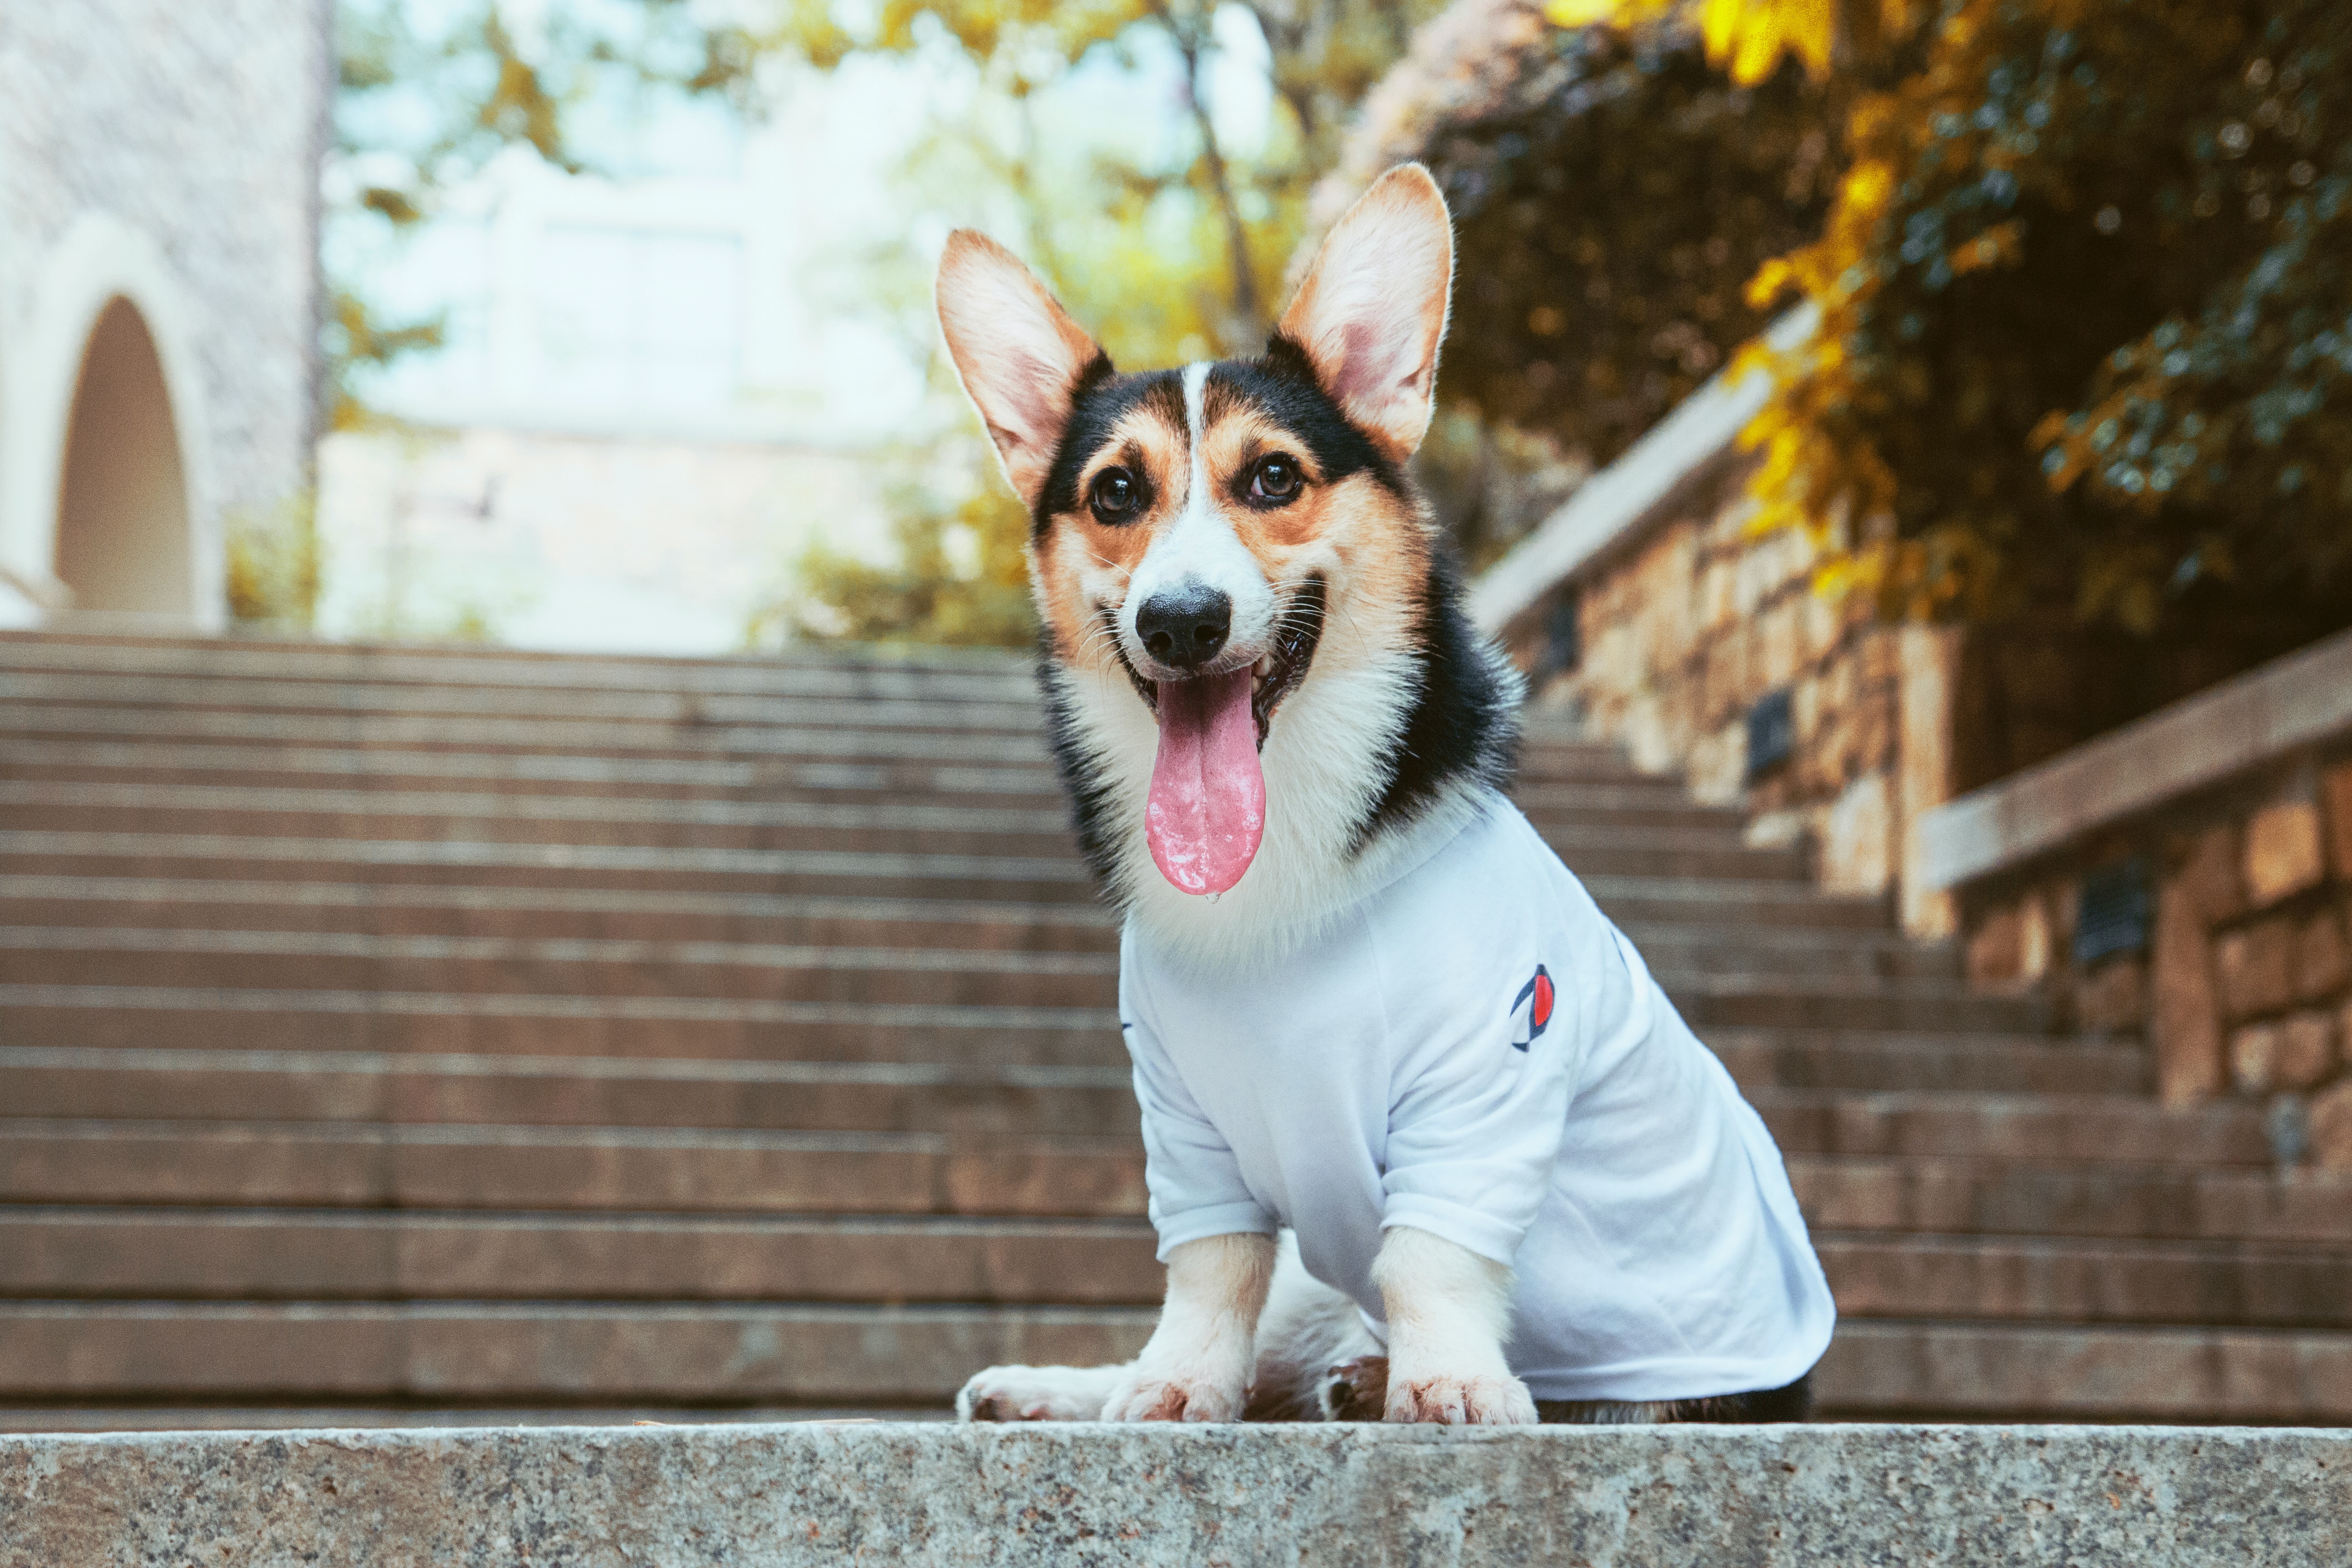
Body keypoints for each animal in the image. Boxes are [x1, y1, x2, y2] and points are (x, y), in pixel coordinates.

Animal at [926, 166, 1825, 1429]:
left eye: (1273, 477)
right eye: (1115, 493)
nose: (1180, 621)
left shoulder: (1485, 1089)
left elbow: (1431, 1256)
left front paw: (1452, 1380)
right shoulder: (1184, 1125)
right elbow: (1210, 1271)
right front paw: (1172, 1383)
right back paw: (1080, 1386)